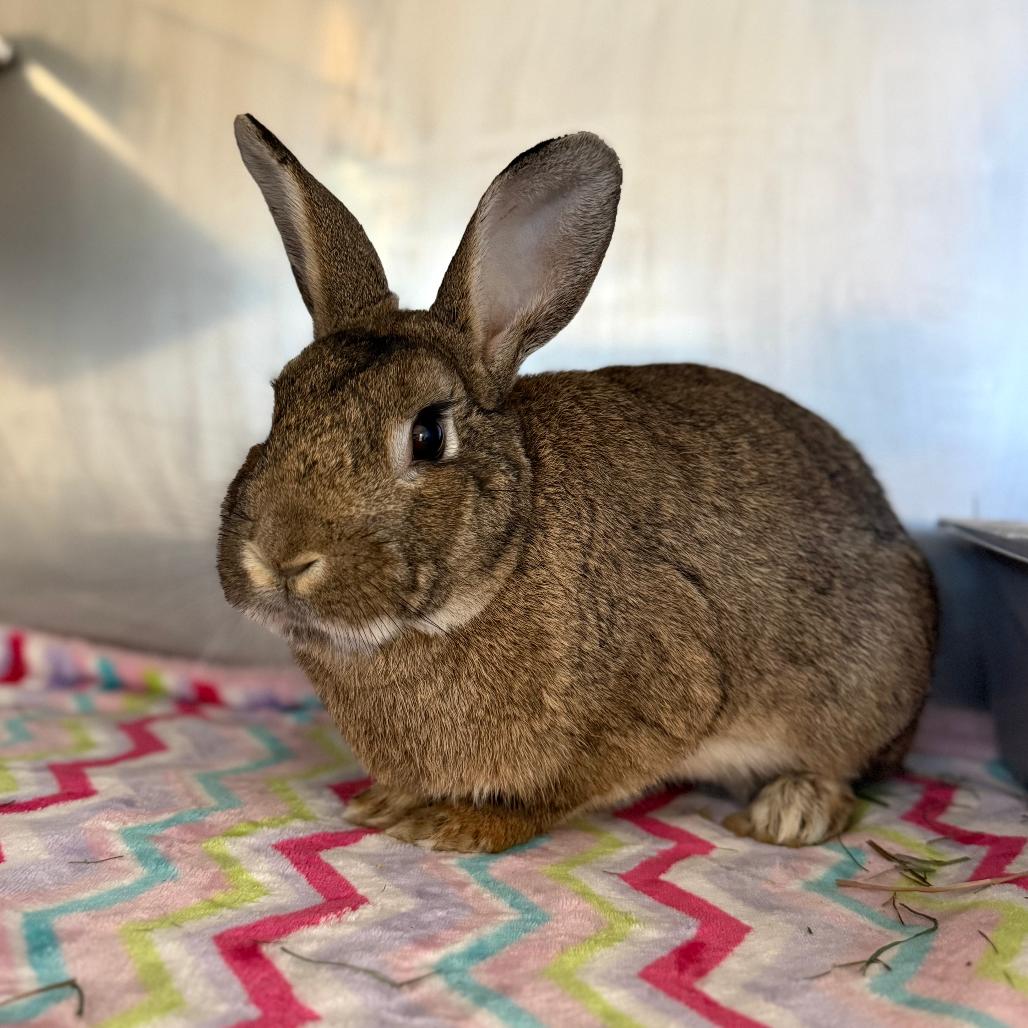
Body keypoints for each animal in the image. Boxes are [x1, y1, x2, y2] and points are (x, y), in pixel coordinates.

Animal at [218, 114, 937, 853]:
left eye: (428, 435)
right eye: (278, 405)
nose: (280, 556)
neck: (500, 565)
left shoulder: (659, 702)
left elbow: (556, 795)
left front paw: (455, 824)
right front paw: (385, 802)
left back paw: (792, 810)